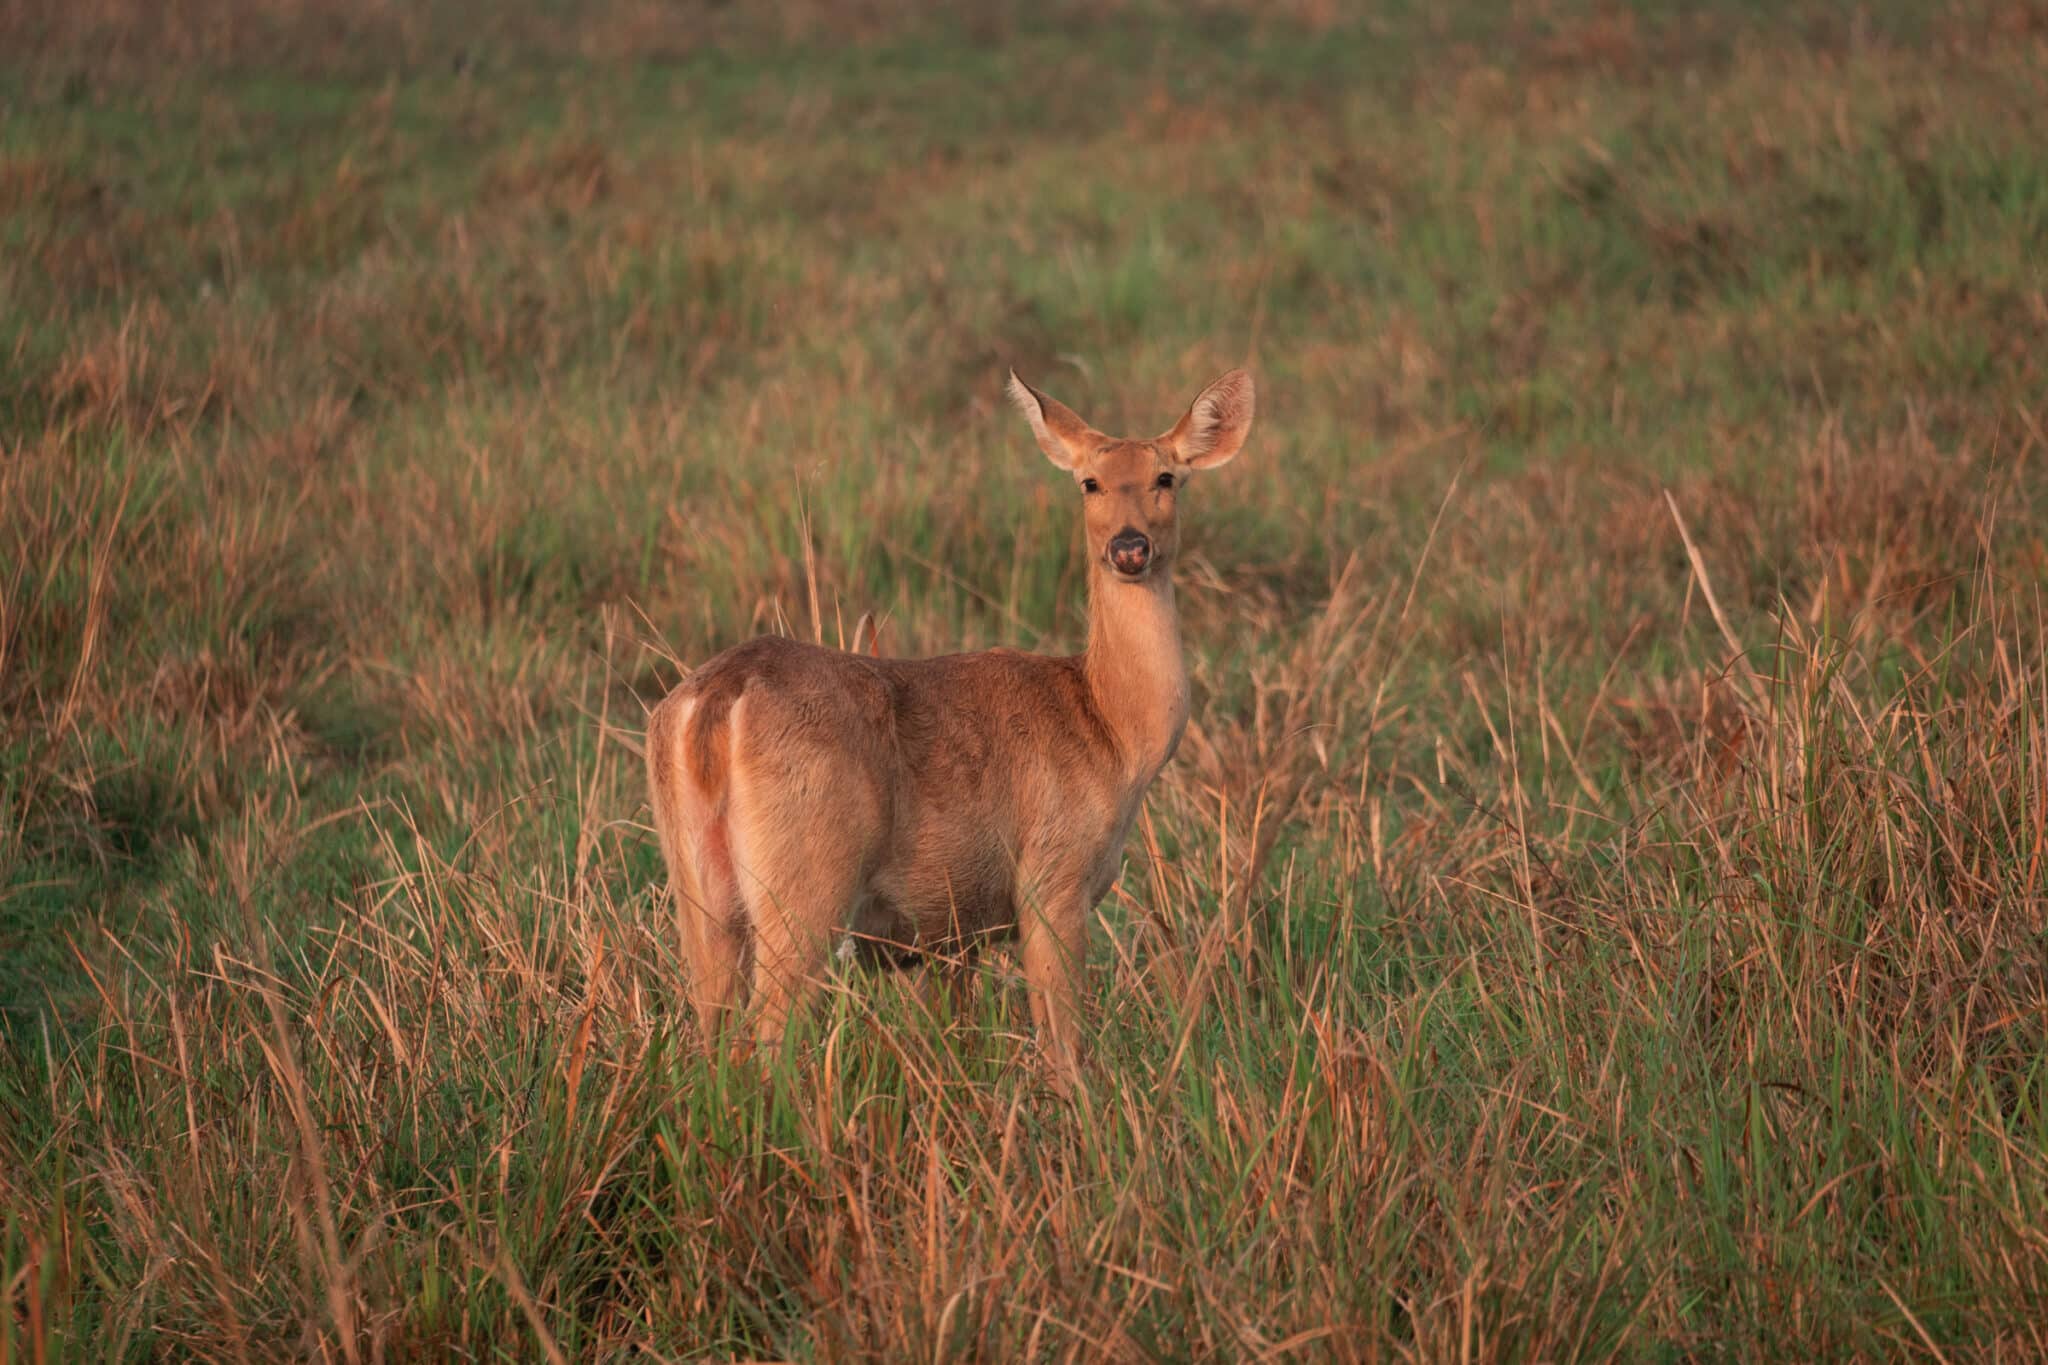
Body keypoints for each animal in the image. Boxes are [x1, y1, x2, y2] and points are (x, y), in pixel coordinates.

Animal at [644, 367, 1254, 1084]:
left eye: (1166, 478)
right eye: (1089, 482)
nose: (1129, 547)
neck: (1110, 727)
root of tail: (719, 698)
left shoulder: (950, 934)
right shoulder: (1051, 879)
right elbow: (1064, 1047)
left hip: (696, 886)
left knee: (707, 1031)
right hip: (806, 877)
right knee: (767, 1034)